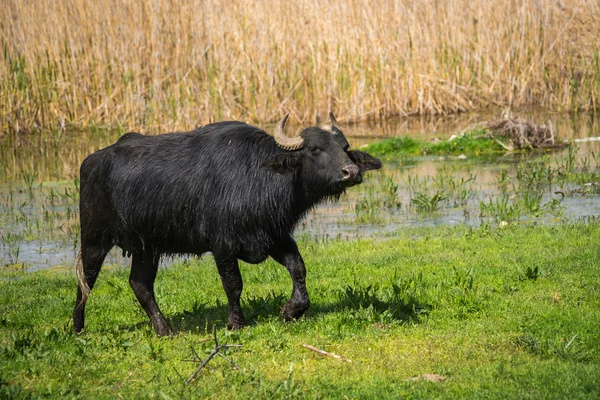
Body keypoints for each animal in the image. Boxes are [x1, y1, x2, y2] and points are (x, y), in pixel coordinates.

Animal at [74, 114, 380, 336]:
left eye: (345, 148)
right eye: (315, 149)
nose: (351, 172)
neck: (257, 177)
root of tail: (91, 161)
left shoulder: (275, 236)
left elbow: (298, 269)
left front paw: (291, 310)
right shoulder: (222, 245)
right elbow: (233, 284)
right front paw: (236, 323)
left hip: (146, 247)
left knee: (140, 285)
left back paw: (165, 330)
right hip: (94, 240)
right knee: (85, 281)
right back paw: (77, 328)